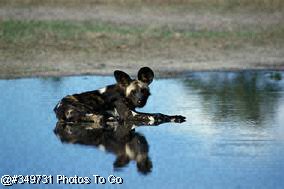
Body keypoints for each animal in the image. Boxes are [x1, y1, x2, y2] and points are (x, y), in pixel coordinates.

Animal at [54, 66, 185, 127]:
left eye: (143, 91)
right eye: (133, 92)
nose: (140, 101)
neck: (123, 94)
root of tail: (58, 108)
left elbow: (163, 114)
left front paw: (177, 117)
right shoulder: (130, 115)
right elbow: (157, 115)